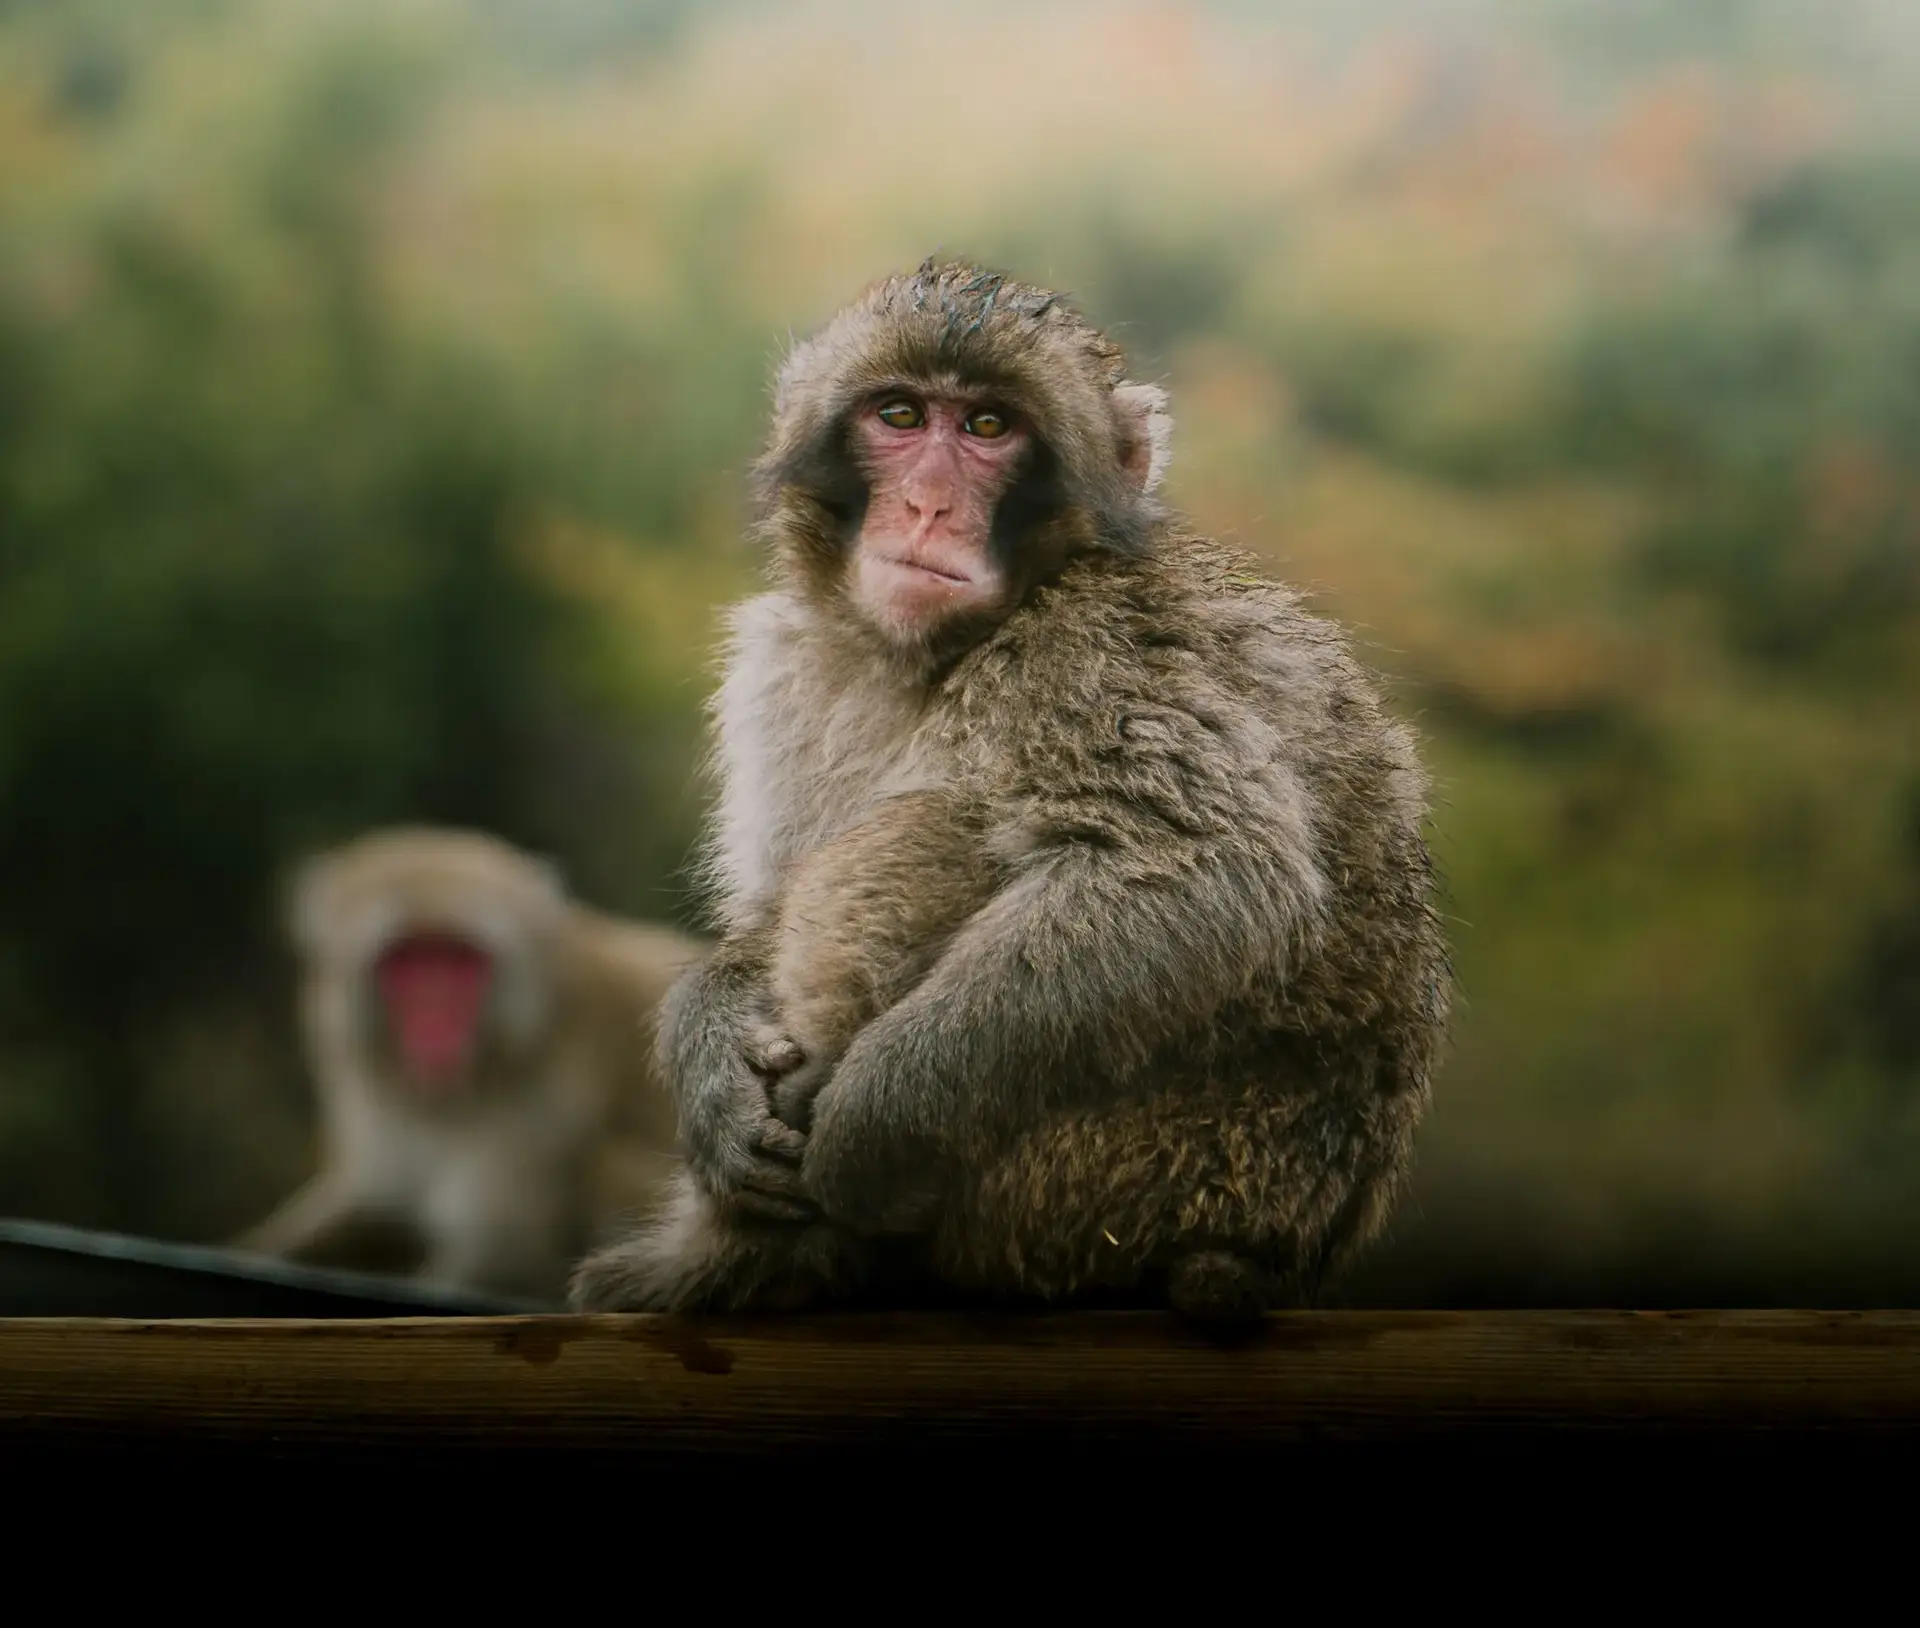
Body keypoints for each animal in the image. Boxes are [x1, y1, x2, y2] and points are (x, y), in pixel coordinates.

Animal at [233, 826, 705, 1304]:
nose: (436, 1020)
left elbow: (496, 1262)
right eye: (407, 960)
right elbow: (380, 1209)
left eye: (459, 960)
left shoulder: (539, 1108)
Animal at [568, 257, 1450, 1324]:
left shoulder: (1088, 653)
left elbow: (1209, 874)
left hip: (1132, 1176)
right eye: (901, 415)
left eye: (989, 427)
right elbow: (768, 907)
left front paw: (863, 1132)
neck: (944, 652)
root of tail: (1281, 1249)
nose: (927, 507)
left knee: (936, 830)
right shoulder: (787, 662)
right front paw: (708, 1059)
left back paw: (757, 1262)